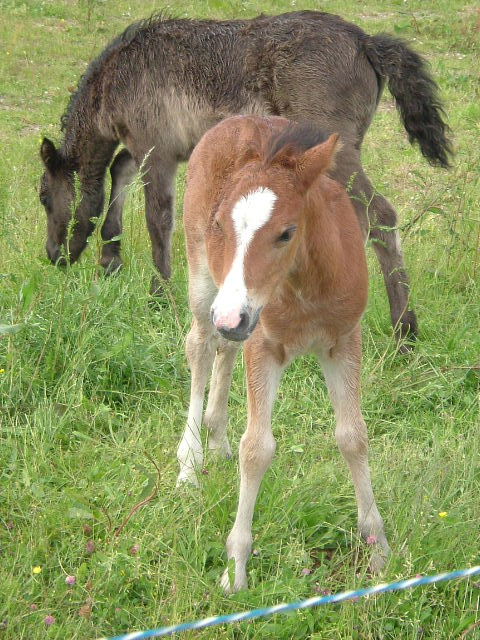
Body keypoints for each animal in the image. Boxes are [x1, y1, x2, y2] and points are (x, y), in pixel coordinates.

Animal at [39, 11, 452, 350]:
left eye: (44, 198)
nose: (54, 255)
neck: (117, 79)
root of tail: (365, 42)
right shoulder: (152, 149)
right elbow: (119, 173)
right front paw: (111, 261)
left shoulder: (157, 150)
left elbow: (159, 222)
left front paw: (160, 297)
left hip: (337, 153)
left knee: (381, 217)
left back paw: (404, 333)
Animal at [176, 114, 390, 592]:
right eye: (219, 224)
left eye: (286, 233)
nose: (230, 316)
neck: (305, 284)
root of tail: (236, 120)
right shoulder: (263, 344)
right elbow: (256, 448)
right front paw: (235, 567)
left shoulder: (343, 341)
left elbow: (354, 437)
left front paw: (379, 550)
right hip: (206, 286)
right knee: (201, 346)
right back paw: (190, 463)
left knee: (223, 348)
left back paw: (216, 437)